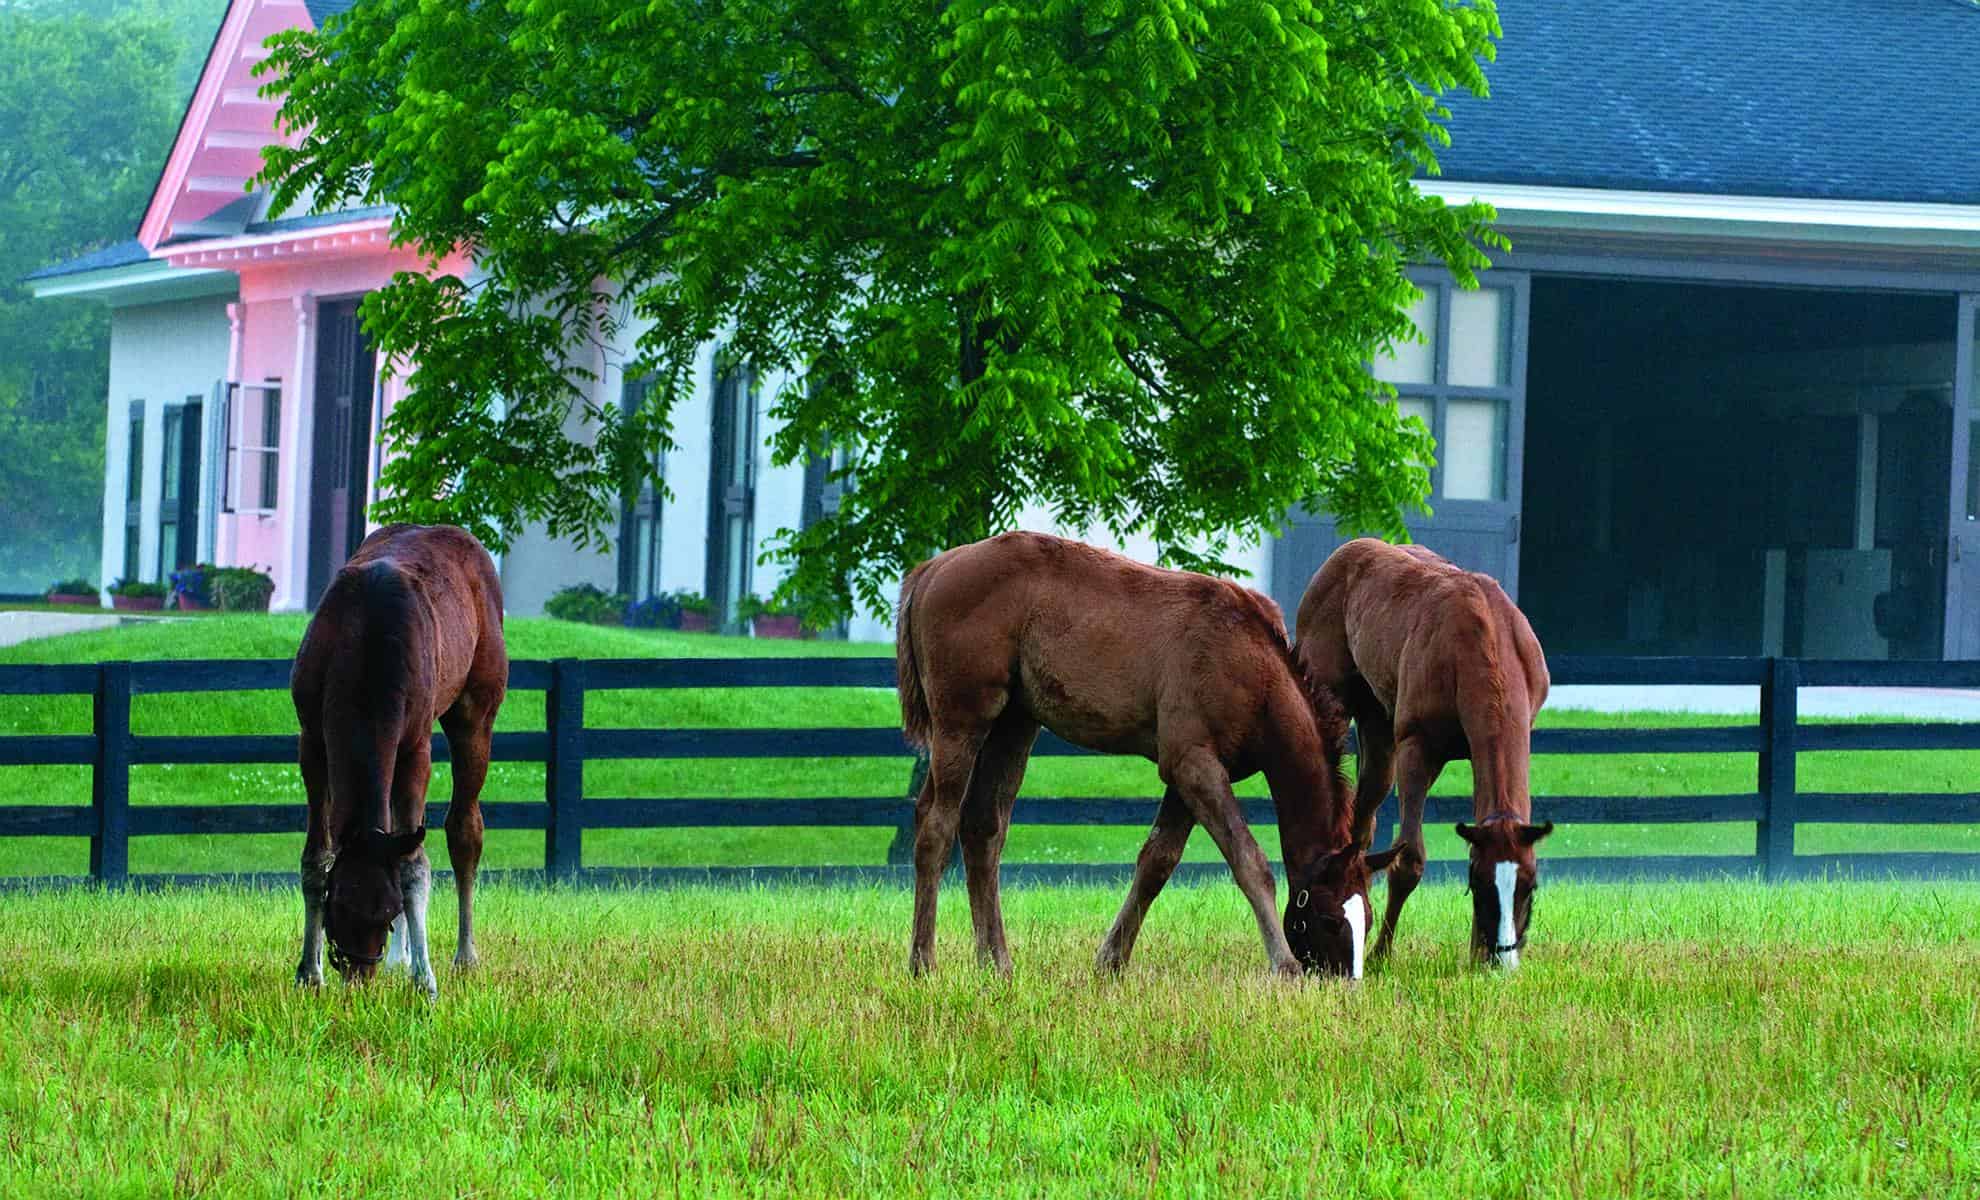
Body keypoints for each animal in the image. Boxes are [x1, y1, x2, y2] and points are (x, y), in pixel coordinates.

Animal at [289, 523, 508, 995]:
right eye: (339, 907)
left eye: (388, 912)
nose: (359, 976)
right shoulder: (312, 742)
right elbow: (317, 857)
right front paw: (309, 973)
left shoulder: (414, 748)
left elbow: (413, 865)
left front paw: (424, 980)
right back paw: (400, 958)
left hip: (476, 712)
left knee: (464, 829)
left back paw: (463, 956)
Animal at [894, 532, 1400, 980]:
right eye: (1331, 918)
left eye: (1368, 919)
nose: (1346, 980)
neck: (1250, 668)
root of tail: (935, 567)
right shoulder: (1194, 765)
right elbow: (1249, 861)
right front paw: (1285, 965)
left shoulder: (1189, 775)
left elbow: (1158, 861)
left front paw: (1112, 960)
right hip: (961, 723)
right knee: (935, 826)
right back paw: (923, 963)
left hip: (1013, 726)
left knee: (983, 828)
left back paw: (995, 963)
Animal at [1293, 538, 1551, 969]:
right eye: (1480, 884)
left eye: (1528, 885)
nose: (1501, 960)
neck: (1485, 636)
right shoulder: (1417, 749)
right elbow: (1409, 860)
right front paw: (1380, 955)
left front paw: (1474, 955)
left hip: (1379, 726)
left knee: (1363, 820)